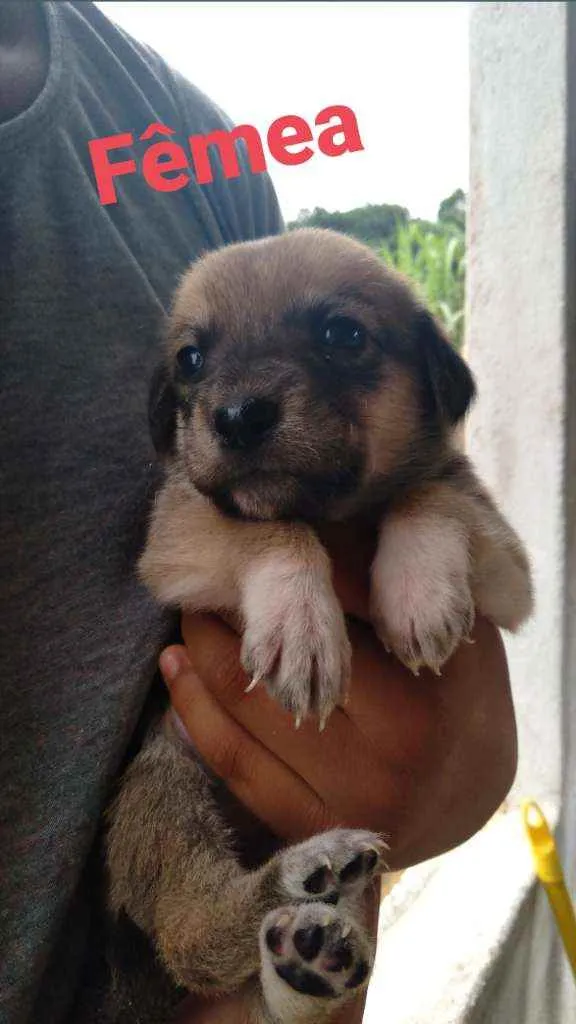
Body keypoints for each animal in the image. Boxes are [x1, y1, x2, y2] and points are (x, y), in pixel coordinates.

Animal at [104, 230, 532, 1024]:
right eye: (192, 359)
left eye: (343, 335)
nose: (237, 416)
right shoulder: (180, 530)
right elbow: (269, 528)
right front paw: (302, 627)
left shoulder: (510, 570)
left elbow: (429, 492)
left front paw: (419, 592)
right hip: (164, 784)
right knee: (194, 934)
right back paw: (300, 883)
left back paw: (311, 952)